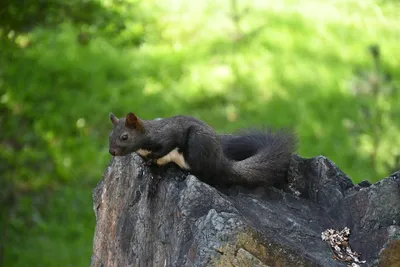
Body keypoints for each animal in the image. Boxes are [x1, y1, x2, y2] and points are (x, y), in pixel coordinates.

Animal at [108, 112, 296, 187]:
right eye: (110, 135)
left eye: (124, 137)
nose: (112, 152)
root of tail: (221, 162)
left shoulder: (168, 136)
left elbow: (166, 147)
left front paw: (152, 158)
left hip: (197, 143)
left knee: (206, 173)